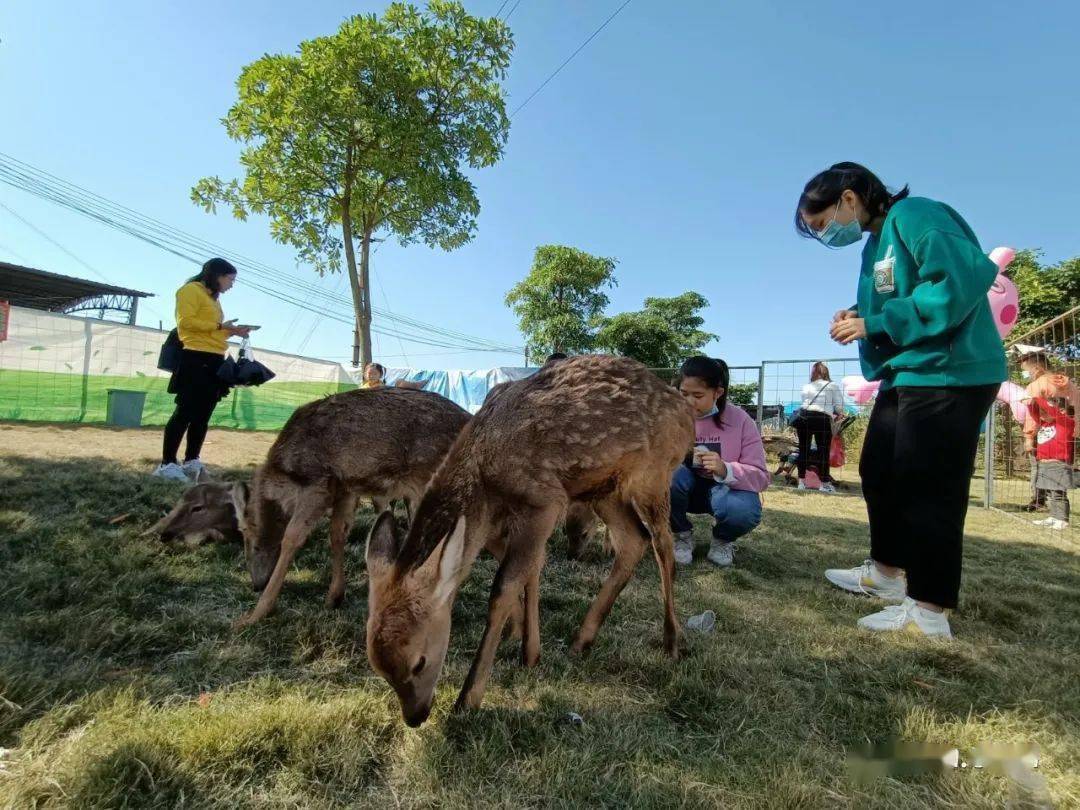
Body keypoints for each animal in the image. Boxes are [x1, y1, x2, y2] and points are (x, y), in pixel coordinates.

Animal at [147, 388, 473, 626]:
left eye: (248, 538)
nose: (256, 583)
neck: (284, 475)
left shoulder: (316, 484)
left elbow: (293, 538)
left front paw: (256, 613)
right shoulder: (345, 488)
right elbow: (337, 534)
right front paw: (334, 597)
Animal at [367, 354, 695, 730]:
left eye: (418, 661)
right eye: (378, 667)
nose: (416, 717)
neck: (486, 479)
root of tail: (688, 416)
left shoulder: (543, 499)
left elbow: (504, 588)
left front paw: (469, 698)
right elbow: (533, 569)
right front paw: (530, 651)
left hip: (653, 475)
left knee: (663, 545)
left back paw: (672, 641)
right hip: (604, 488)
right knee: (633, 541)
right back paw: (582, 639)